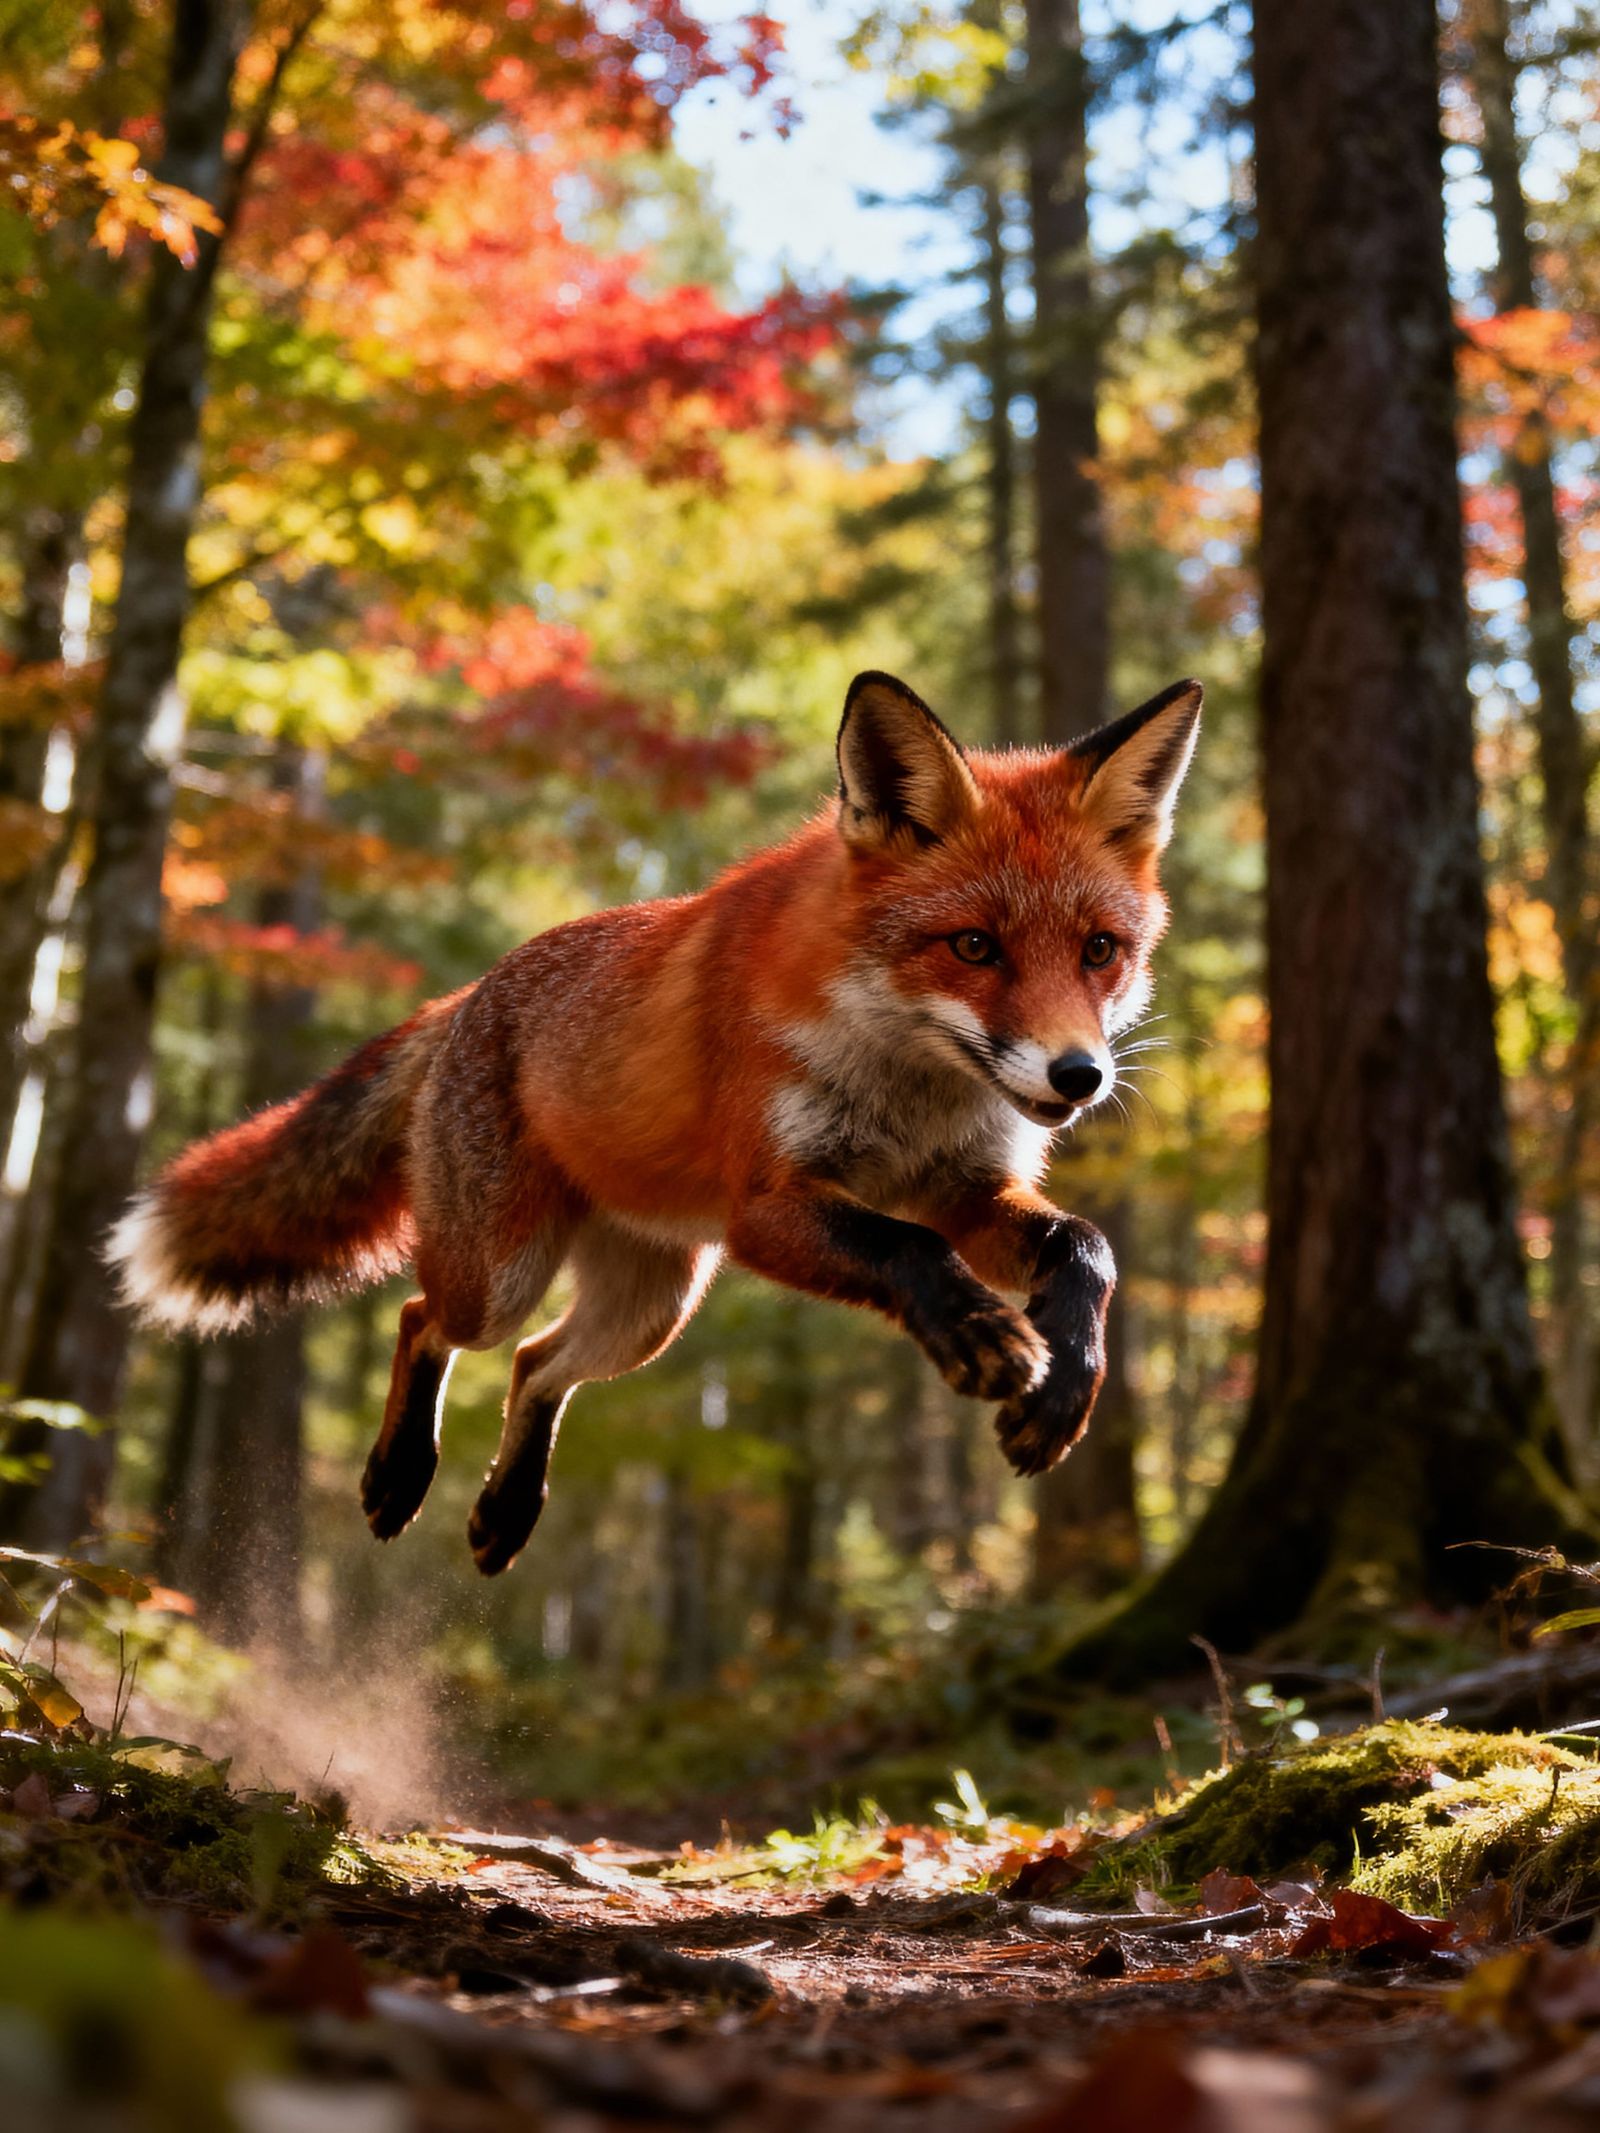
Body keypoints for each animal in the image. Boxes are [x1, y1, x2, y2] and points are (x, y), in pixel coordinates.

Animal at [110, 670, 1200, 1577]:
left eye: (1099, 950)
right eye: (973, 947)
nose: (1079, 1075)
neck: (910, 1083)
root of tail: (470, 995)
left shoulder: (968, 1187)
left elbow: (1086, 1246)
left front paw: (1067, 1387)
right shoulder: (767, 1206)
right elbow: (910, 1249)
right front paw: (981, 1332)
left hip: (652, 1309)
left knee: (536, 1366)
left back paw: (507, 1511)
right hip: (503, 1273)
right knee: (429, 1321)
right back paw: (399, 1474)